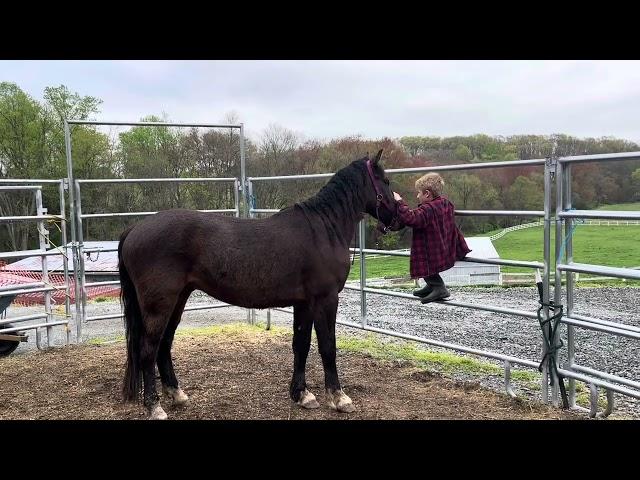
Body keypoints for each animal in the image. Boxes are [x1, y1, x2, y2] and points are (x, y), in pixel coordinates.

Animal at [118, 148, 398, 418]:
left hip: (179, 298)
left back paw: (176, 394)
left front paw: (302, 395)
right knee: (148, 350)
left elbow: (301, 345)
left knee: (164, 344)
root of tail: (134, 229)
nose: (397, 215)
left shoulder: (304, 303)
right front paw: (339, 398)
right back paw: (154, 407)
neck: (322, 230)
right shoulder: (326, 299)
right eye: (385, 181)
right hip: (159, 305)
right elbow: (328, 347)